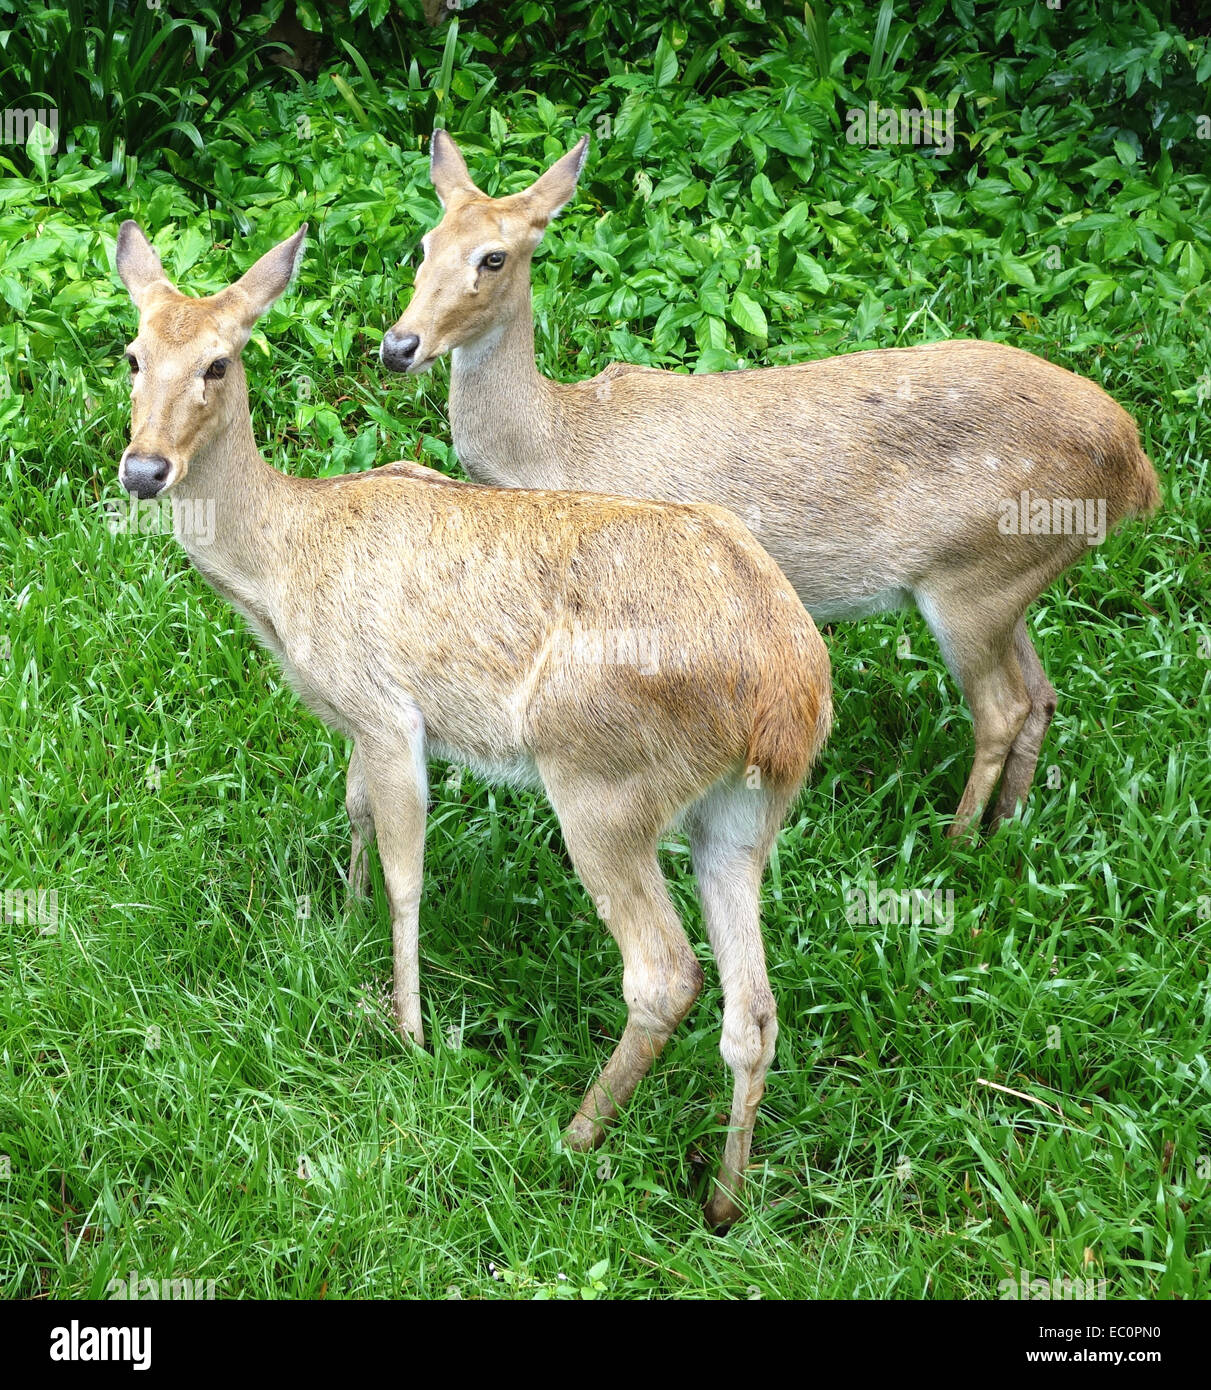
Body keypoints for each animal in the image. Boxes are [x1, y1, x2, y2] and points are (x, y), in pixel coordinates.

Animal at [114, 216, 834, 1228]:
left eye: (219, 362)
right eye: (133, 353)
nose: (144, 468)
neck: (283, 565)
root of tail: (788, 692)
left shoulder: (385, 710)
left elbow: (407, 870)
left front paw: (407, 1031)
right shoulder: (356, 723)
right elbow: (354, 812)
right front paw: (341, 927)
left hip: (602, 778)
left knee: (664, 972)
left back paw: (573, 1137)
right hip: (740, 815)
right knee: (753, 1007)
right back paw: (723, 1200)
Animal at [380, 132, 1162, 834]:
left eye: (493, 257)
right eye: (424, 243)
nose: (398, 345)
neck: (555, 444)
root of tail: (1136, 465)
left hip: (972, 580)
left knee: (1002, 708)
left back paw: (957, 842)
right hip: (1008, 580)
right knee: (1042, 694)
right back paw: (1007, 826)